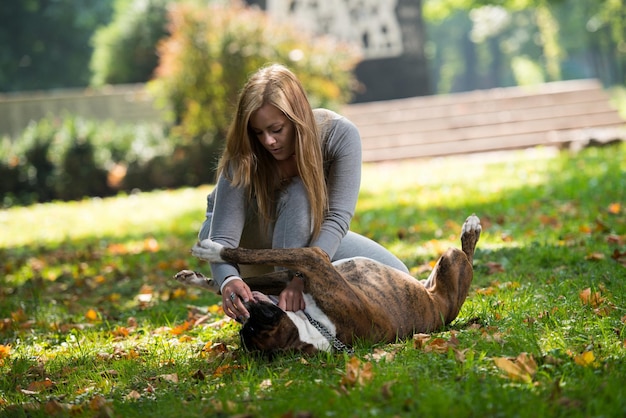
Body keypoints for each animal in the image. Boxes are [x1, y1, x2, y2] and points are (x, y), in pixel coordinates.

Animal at [173, 216, 480, 356]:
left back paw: (472, 228)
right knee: (466, 256)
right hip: (448, 262)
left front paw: (212, 254)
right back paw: (471, 229)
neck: (315, 327)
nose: (244, 308)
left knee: (467, 255)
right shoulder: (309, 264)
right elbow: (257, 267)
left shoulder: (305, 266)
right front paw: (212, 271)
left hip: (446, 262)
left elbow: (257, 260)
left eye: (249, 324)